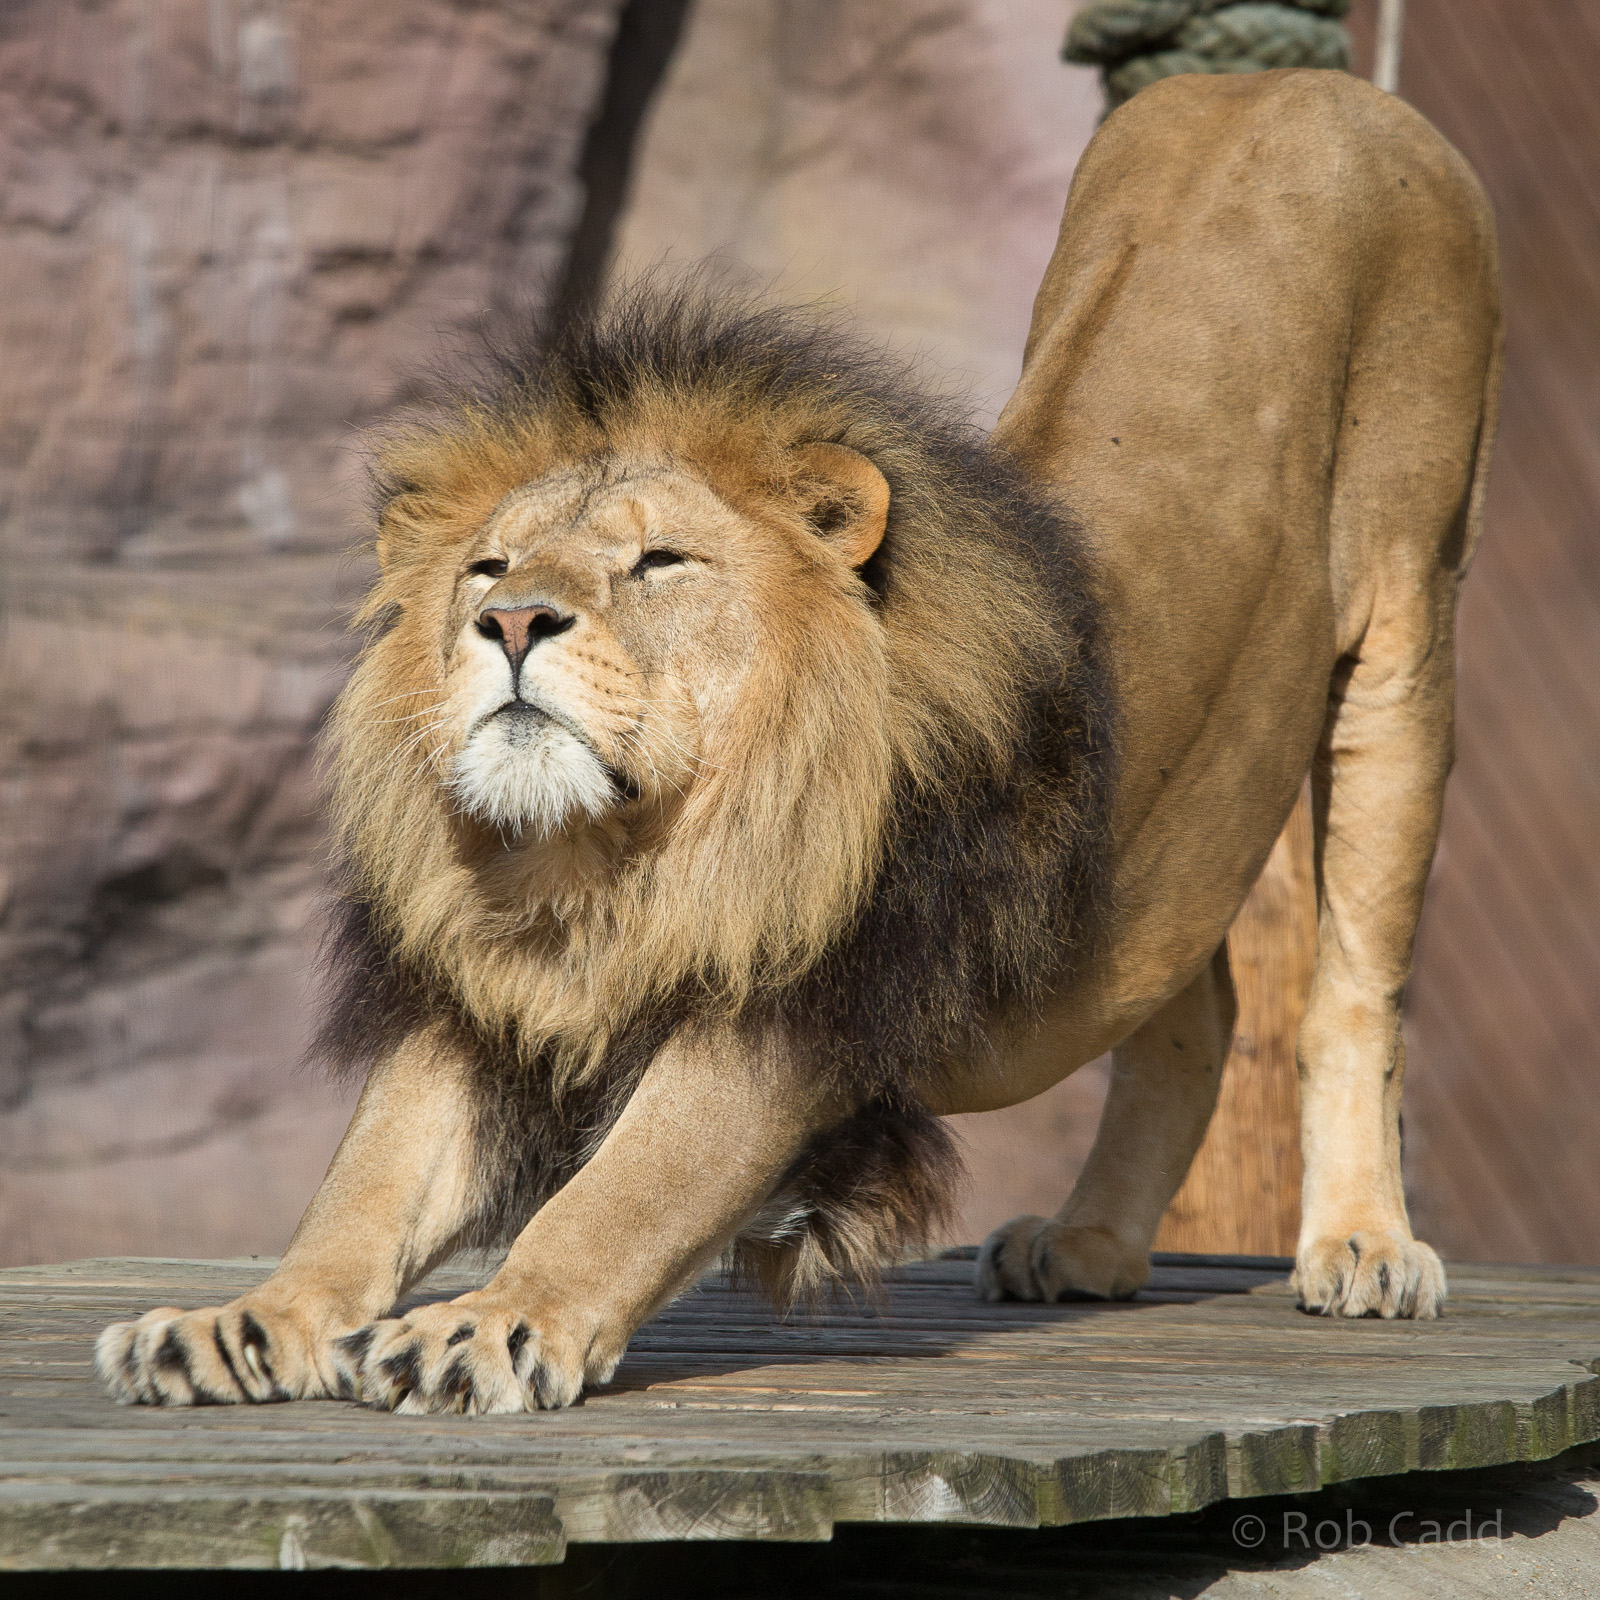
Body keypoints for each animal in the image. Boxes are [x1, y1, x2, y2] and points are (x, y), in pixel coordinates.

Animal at [98, 71, 1499, 1414]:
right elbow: (370, 1182)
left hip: (1405, 637)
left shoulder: (786, 1004)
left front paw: (487, 1322)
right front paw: (245, 1321)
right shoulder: (480, 992)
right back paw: (1090, 1241)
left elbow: (624, 1191)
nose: (511, 620)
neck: (606, 857)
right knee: (1188, 1000)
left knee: (1349, 988)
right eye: (488, 566)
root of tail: (1308, 81)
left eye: (660, 561)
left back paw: (1363, 1246)